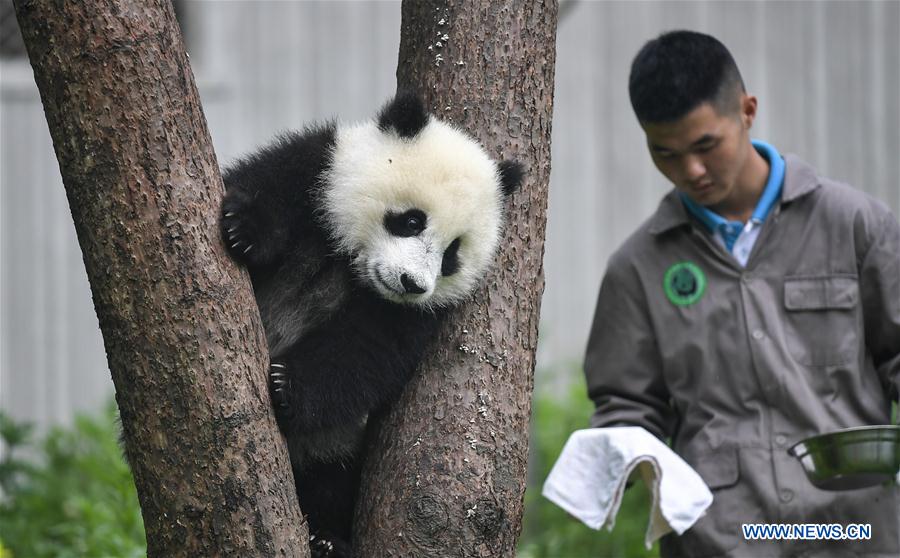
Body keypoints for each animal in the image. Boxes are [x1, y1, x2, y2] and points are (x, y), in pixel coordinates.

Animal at [220, 91, 523, 557]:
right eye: (412, 220)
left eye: (452, 254)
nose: (412, 283)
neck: (352, 263)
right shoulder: (321, 170)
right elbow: (271, 183)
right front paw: (245, 230)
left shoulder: (414, 315)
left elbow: (367, 351)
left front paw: (286, 385)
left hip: (332, 444)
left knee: (331, 477)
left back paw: (327, 541)